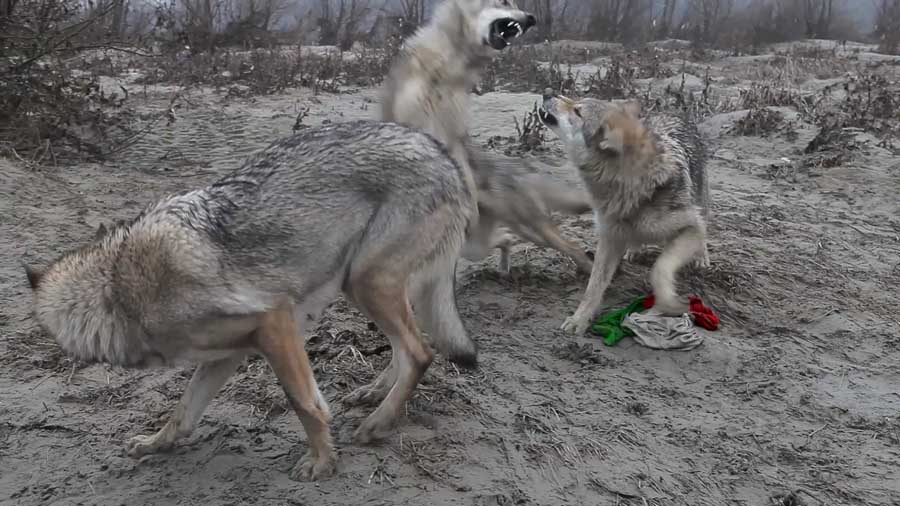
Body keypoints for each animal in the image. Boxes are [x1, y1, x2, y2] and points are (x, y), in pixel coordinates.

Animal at [21, 120, 478, 480]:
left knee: (420, 352)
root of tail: (441, 152)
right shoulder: (226, 355)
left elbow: (304, 404)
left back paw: (378, 423)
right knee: (408, 348)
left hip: (366, 283)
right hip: (365, 287)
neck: (118, 290)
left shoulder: (274, 323)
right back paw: (373, 395)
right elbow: (182, 414)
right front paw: (154, 444)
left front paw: (322, 461)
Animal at [376, 0, 596, 274]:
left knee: (570, 247)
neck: (446, 72)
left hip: (530, 229)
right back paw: (504, 269)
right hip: (487, 243)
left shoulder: (454, 136)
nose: (531, 18)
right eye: (505, 2)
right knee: (506, 238)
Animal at [536, 95, 712, 336]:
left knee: (704, 228)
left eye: (578, 111)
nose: (547, 93)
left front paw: (668, 303)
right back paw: (634, 249)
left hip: (700, 205)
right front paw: (579, 320)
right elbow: (593, 286)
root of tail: (671, 110)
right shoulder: (609, 238)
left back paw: (701, 257)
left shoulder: (689, 227)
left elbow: (660, 268)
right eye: (574, 100)